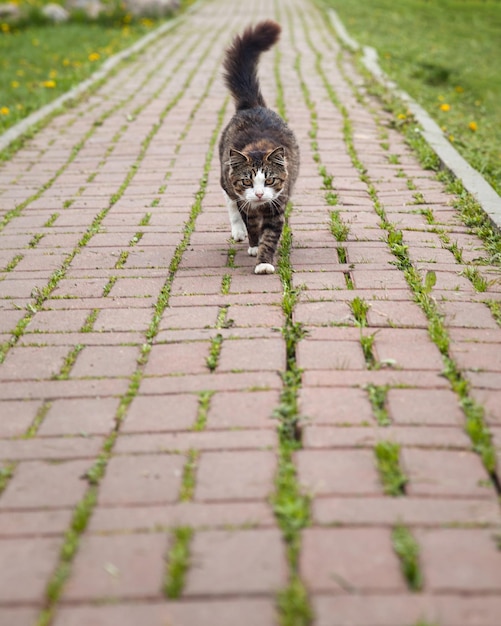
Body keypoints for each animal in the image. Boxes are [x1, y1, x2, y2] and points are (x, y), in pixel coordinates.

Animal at [218, 18, 296, 272]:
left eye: (269, 180)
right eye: (247, 181)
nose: (260, 194)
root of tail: (252, 105)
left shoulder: (277, 205)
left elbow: (270, 236)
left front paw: (264, 262)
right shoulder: (245, 201)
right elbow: (250, 224)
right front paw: (253, 245)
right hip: (225, 179)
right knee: (230, 202)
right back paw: (238, 231)